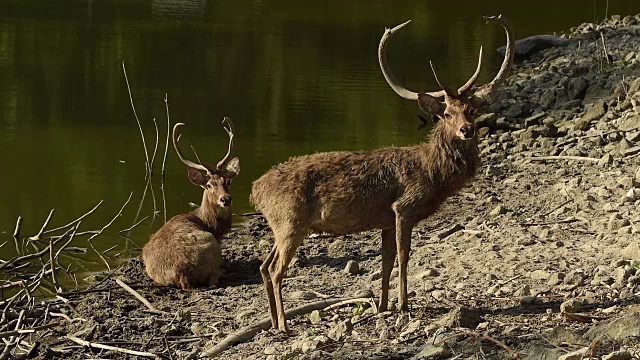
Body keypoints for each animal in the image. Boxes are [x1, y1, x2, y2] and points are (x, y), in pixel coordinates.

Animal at [142, 116, 240, 292]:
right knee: (214, 277)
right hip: (212, 247)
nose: (226, 199)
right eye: (209, 185)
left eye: (228, 181)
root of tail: (183, 273)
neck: (211, 225)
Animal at [250, 14, 516, 332]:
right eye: (446, 114)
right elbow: (403, 256)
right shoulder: (403, 208)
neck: (432, 175)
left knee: (264, 265)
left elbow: (386, 261)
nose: (467, 130)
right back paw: (284, 325)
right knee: (276, 270)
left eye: (472, 111)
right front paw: (403, 305)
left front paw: (384, 305)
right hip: (290, 222)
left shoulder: (386, 220)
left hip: (281, 225)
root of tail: (255, 190)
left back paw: (273, 321)